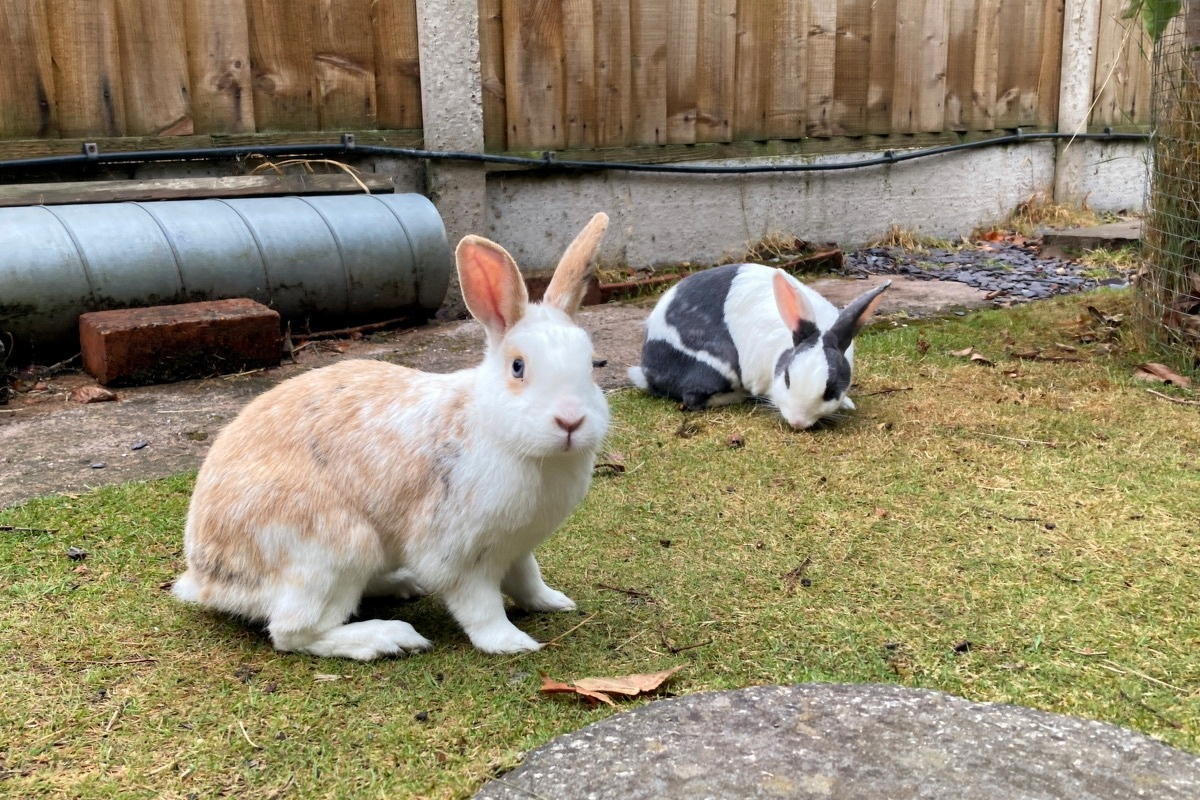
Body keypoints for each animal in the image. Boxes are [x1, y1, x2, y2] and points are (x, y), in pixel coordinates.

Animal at [172, 213, 611, 660]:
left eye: (593, 365)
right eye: (518, 367)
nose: (571, 421)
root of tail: (205, 578)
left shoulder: (518, 546)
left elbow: (527, 579)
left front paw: (554, 602)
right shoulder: (457, 555)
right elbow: (480, 605)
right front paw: (510, 642)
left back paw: (401, 585)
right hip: (337, 549)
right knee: (294, 632)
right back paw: (389, 637)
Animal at [628, 263, 889, 429]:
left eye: (831, 390)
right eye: (787, 379)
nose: (797, 422)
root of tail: (647, 372)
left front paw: (847, 403)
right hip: (715, 367)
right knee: (693, 398)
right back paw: (737, 396)